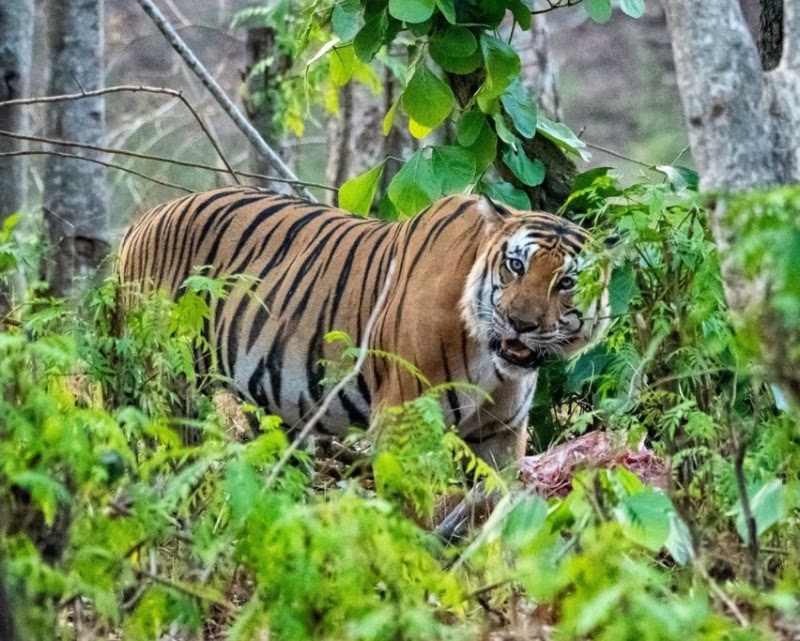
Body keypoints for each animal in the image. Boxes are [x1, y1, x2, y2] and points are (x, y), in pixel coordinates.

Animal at [117, 186, 610, 469]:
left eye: (566, 282)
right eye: (515, 266)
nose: (520, 324)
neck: (494, 363)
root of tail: (141, 221)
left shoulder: (499, 435)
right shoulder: (403, 419)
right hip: (169, 385)